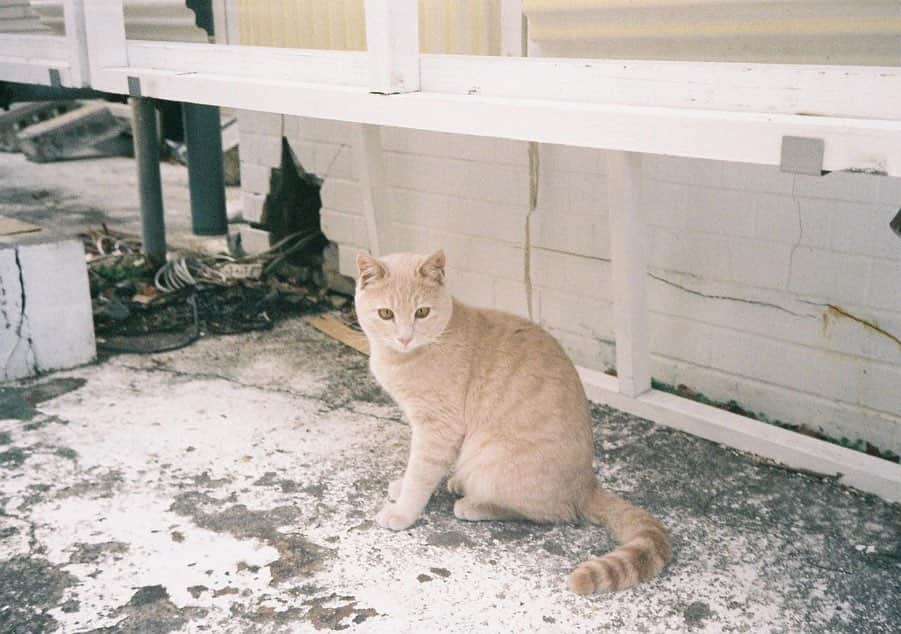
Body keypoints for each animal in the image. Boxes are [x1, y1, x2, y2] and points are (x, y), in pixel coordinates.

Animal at [356, 248, 672, 592]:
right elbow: (418, 469)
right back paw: (458, 482)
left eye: (422, 312)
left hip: (492, 460)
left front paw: (402, 511)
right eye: (386, 314)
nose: (404, 338)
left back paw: (473, 504)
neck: (405, 357)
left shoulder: (438, 429)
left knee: (551, 513)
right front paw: (405, 487)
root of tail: (587, 484)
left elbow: (420, 473)